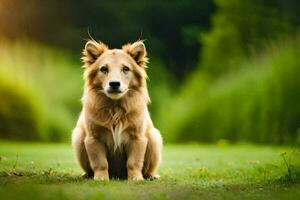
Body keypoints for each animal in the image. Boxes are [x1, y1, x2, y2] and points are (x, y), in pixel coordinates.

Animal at [72, 39, 163, 180]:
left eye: (126, 69)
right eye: (104, 69)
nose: (114, 84)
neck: (115, 109)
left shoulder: (137, 137)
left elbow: (133, 162)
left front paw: (136, 178)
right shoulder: (93, 138)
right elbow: (100, 162)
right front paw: (101, 178)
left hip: (154, 137)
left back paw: (150, 176)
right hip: (78, 136)